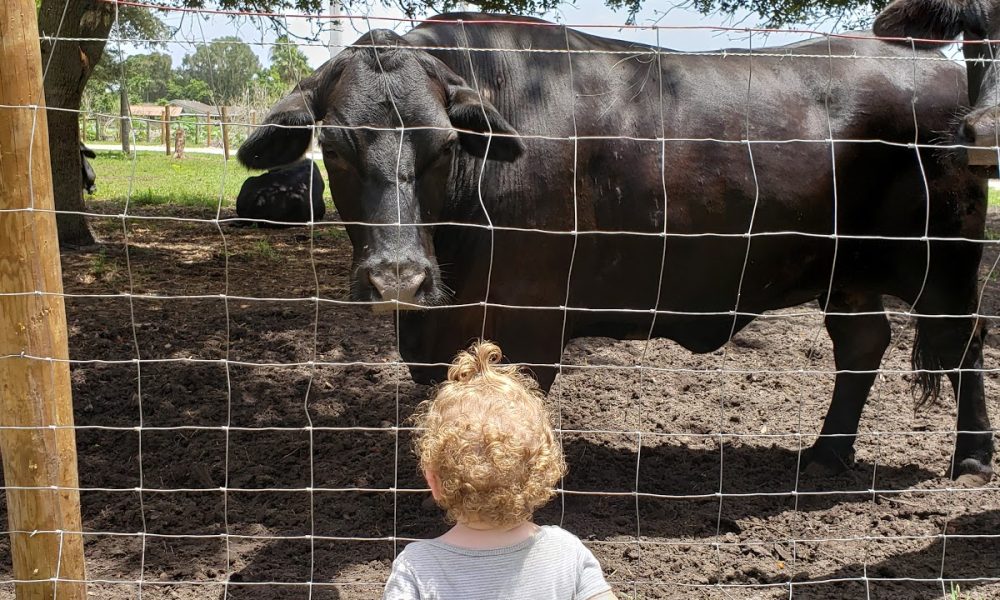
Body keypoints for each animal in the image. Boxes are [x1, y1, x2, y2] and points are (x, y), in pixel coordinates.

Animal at [238, 14, 996, 482]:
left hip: (947, 260)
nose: (399, 274)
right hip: (845, 270)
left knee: (964, 343)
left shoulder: (530, 322)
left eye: (445, 144)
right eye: (334, 145)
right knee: (864, 343)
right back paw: (828, 454)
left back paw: (971, 459)